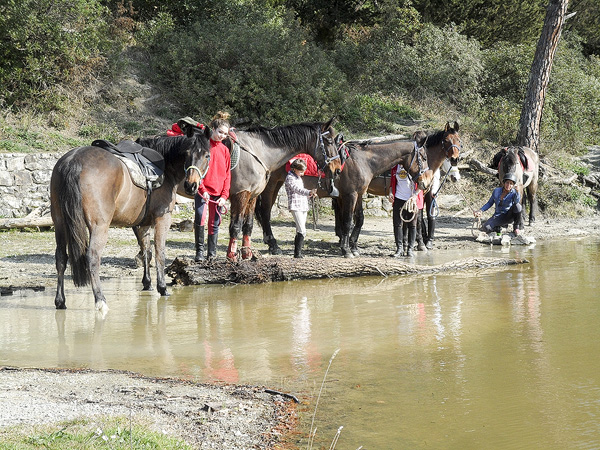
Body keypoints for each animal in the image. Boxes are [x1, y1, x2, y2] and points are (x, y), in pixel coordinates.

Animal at [50, 119, 212, 312]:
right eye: (187, 153)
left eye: (207, 156)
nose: (191, 186)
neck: (165, 165)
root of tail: (73, 160)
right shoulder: (162, 218)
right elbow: (160, 252)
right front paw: (162, 287)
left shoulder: (142, 223)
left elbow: (146, 251)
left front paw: (147, 283)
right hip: (99, 226)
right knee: (93, 257)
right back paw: (100, 299)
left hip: (60, 223)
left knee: (61, 257)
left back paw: (60, 301)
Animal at [223, 118, 342, 260]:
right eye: (329, 141)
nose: (338, 169)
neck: (256, 152)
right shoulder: (240, 195)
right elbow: (236, 225)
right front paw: (232, 256)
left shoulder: (252, 195)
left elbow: (248, 224)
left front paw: (247, 253)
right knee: (265, 212)